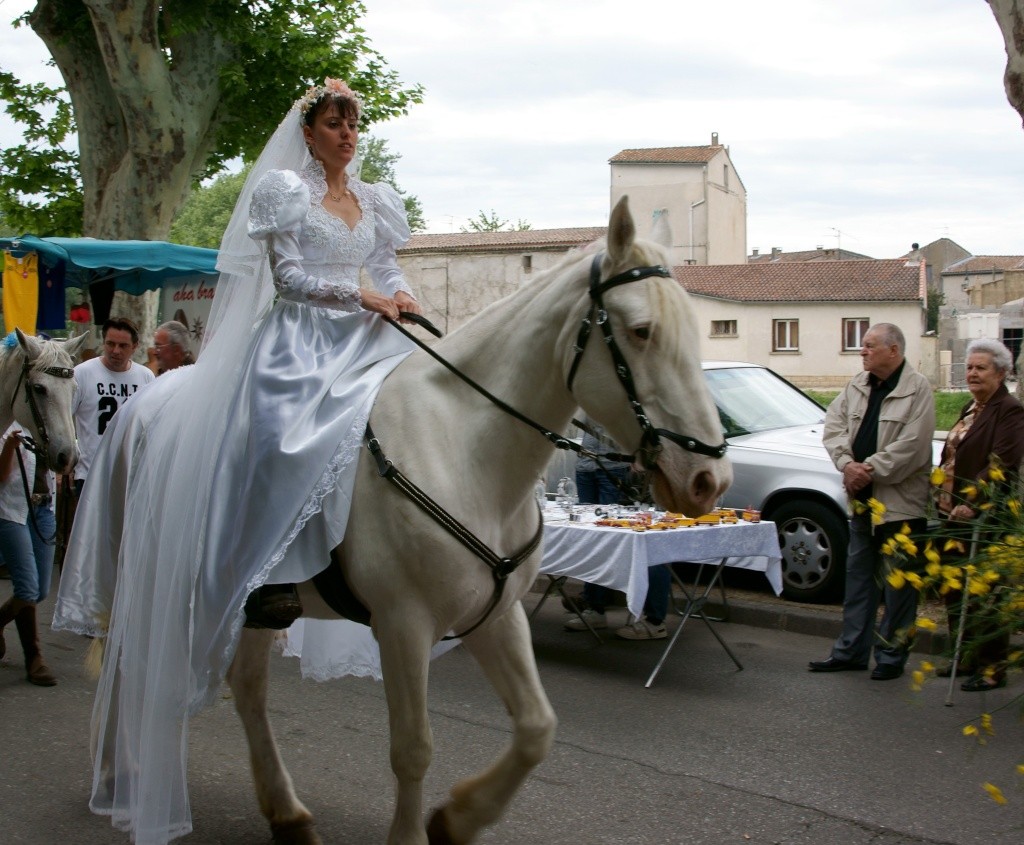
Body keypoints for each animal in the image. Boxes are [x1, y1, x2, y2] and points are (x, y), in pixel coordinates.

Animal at [228, 194, 733, 839]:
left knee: (247, 688)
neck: (463, 450)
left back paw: (286, 811)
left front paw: (459, 818)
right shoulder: (403, 624)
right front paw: (413, 834)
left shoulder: (497, 614)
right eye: (642, 331)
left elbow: (538, 728)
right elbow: (412, 748)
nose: (710, 480)